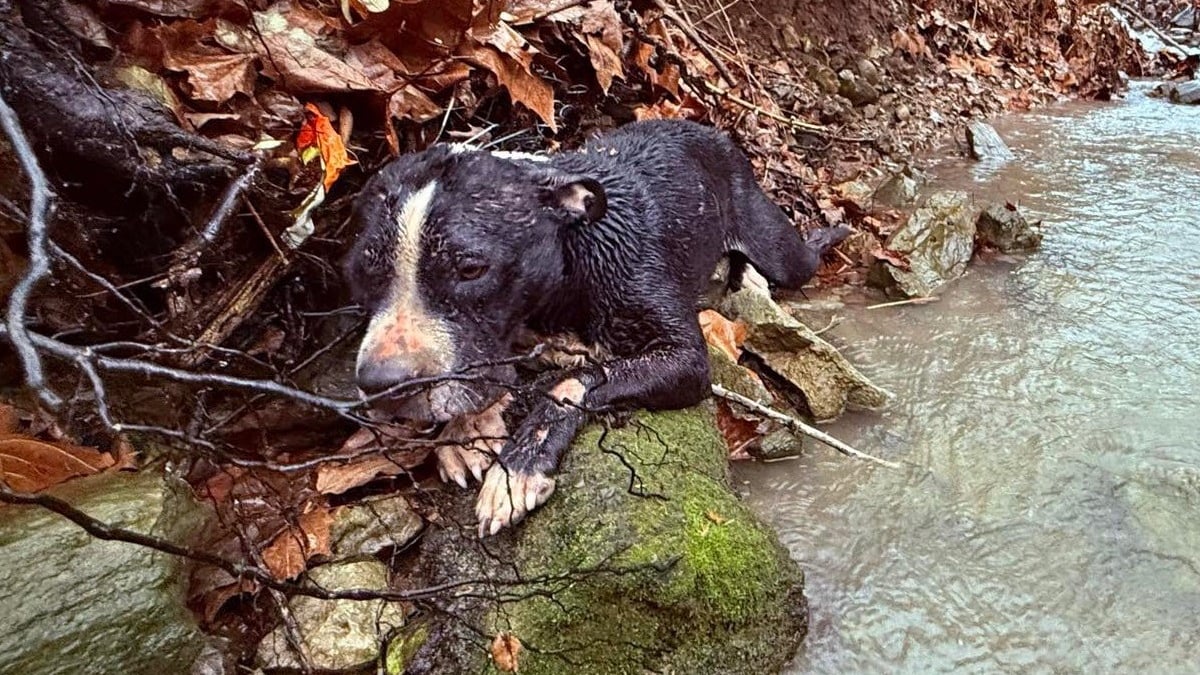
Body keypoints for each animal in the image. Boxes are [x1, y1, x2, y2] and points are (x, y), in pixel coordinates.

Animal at [345, 118, 854, 533]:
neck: (572, 251)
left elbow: (571, 383)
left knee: (797, 257)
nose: (381, 384)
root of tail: (708, 128)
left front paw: (520, 465)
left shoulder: (685, 360)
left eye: (471, 268)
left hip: (779, 250)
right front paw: (466, 430)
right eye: (360, 272)